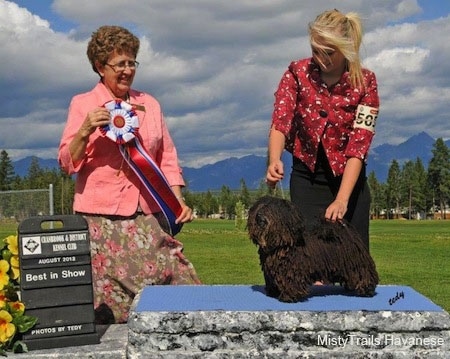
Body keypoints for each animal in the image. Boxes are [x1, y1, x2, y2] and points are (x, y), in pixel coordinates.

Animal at [248, 195, 378, 302]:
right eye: (259, 208)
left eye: (272, 209)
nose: (259, 216)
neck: (280, 245)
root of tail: (346, 232)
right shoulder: (271, 272)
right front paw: (273, 293)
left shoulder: (291, 272)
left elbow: (290, 283)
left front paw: (289, 297)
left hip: (356, 264)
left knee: (364, 274)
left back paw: (366, 290)